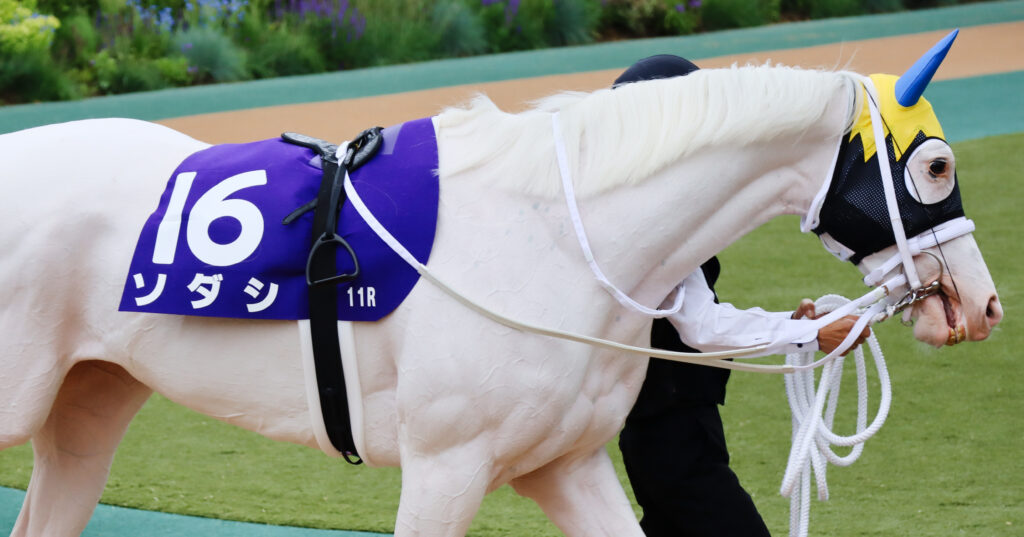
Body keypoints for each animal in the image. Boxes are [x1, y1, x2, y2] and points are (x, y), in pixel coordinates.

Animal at [0, 47, 1003, 536]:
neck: (559, 232)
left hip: (90, 403)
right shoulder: (445, 467)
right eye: (936, 164)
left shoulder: (566, 463)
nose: (981, 303)